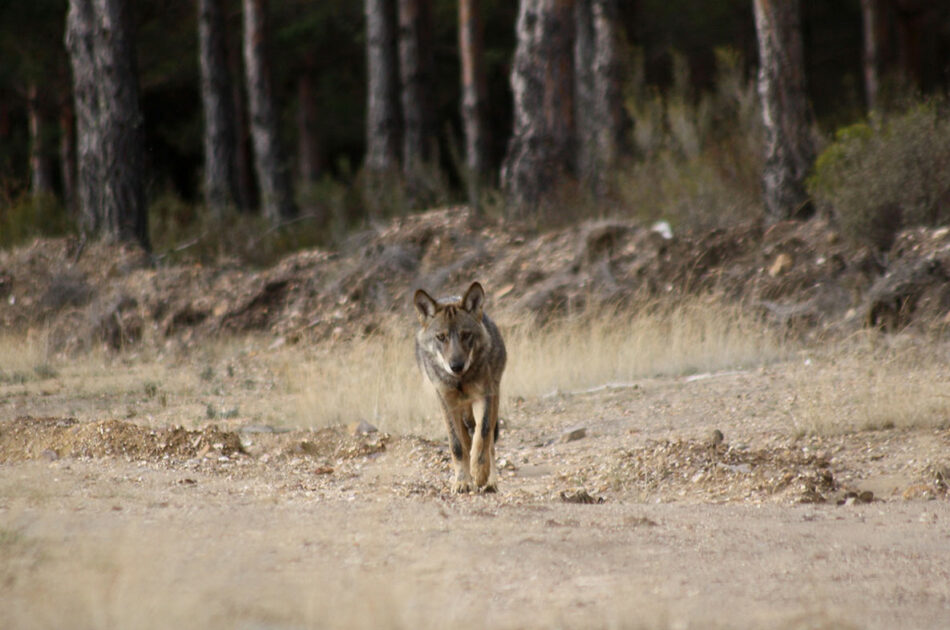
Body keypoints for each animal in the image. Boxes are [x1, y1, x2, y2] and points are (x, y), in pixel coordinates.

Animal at [412, 282, 510, 494]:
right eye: (441, 337)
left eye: (466, 335)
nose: (456, 366)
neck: (460, 381)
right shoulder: (446, 403)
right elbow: (457, 446)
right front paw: (462, 482)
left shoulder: (485, 396)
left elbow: (482, 437)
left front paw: (480, 473)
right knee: (465, 441)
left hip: (494, 397)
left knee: (489, 442)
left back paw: (490, 481)